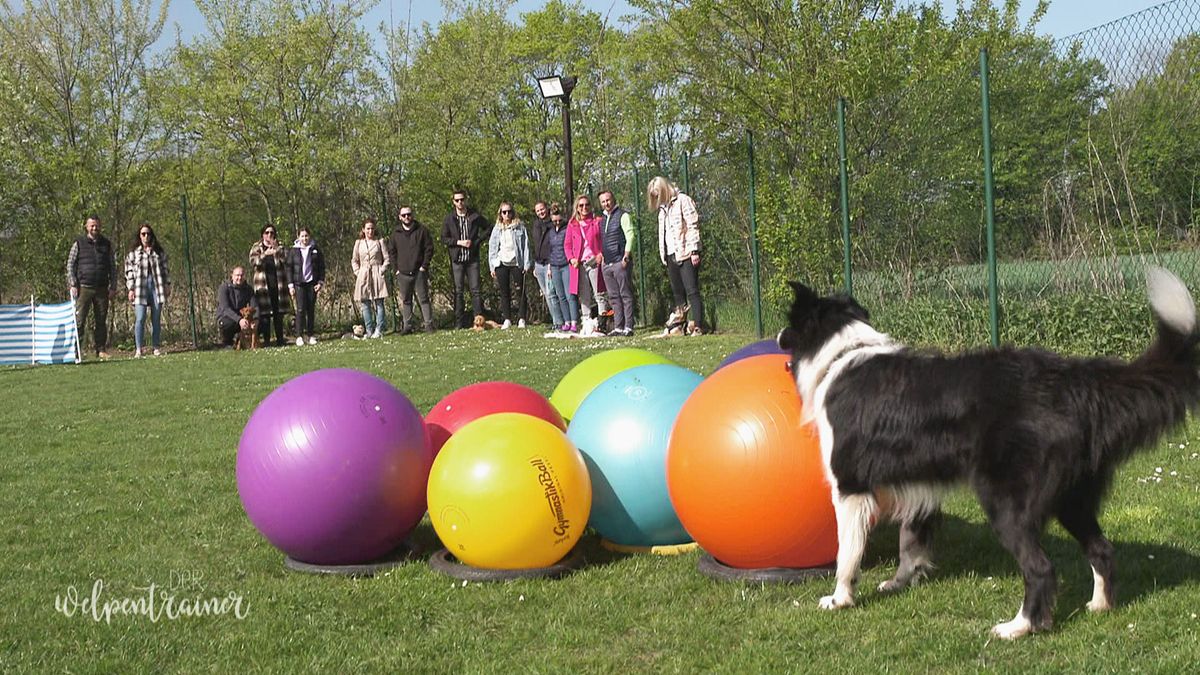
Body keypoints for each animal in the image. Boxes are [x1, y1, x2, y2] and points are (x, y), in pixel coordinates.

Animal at [777, 266, 1200, 634]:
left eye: (791, 323)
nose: (779, 336)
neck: (841, 353)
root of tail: (1073, 383)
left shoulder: (849, 486)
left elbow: (847, 554)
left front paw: (839, 599)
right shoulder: (919, 481)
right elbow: (910, 540)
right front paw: (901, 581)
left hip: (1007, 502)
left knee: (1040, 568)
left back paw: (1019, 627)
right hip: (1072, 498)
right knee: (1102, 549)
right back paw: (1099, 605)